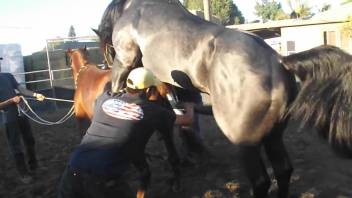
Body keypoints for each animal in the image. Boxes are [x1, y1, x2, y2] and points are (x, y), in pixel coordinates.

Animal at [93, 0, 352, 197]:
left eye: (106, 47)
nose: (105, 62)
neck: (135, 9)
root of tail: (279, 61)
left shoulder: (125, 61)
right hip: (274, 136)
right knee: (283, 170)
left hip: (245, 142)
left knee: (261, 181)